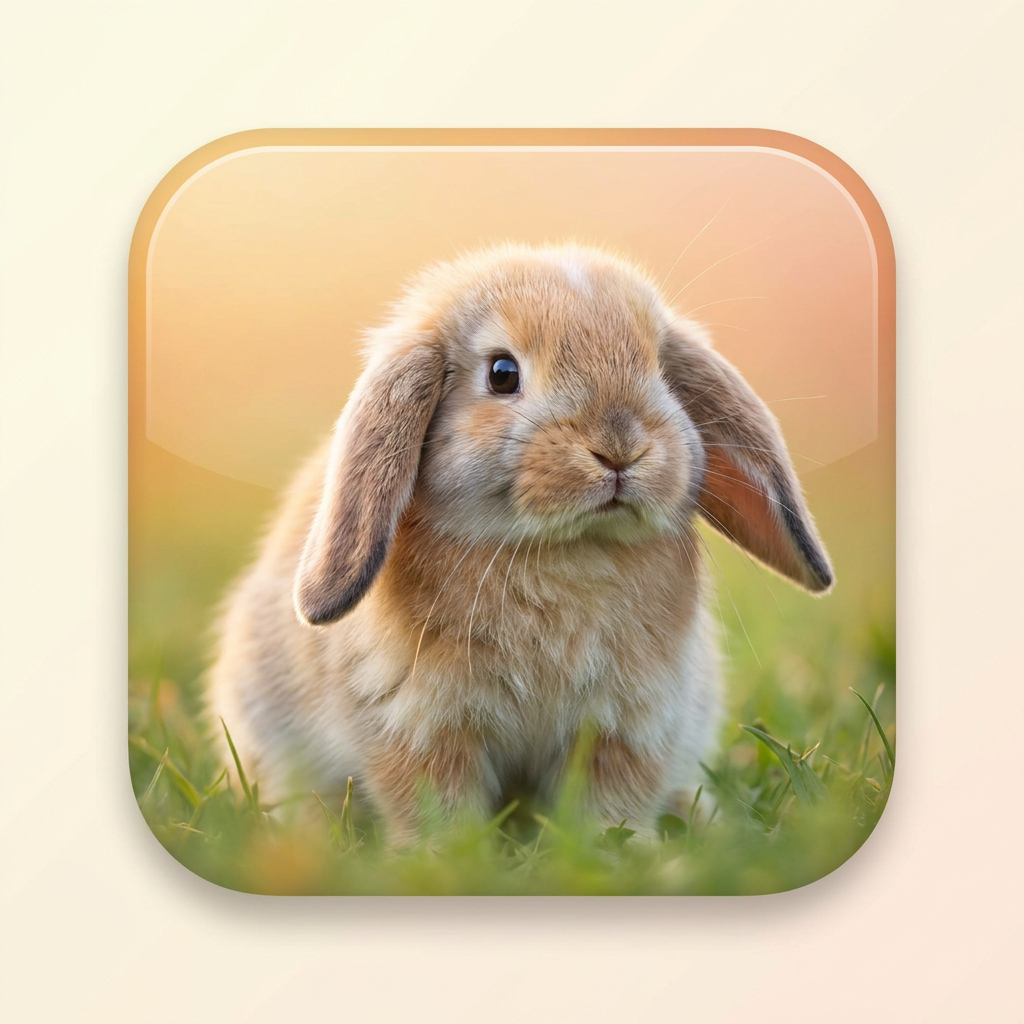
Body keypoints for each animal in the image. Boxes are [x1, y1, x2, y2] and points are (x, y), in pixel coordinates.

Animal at [205, 241, 833, 845]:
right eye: (502, 373)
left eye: (659, 367)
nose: (620, 447)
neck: (565, 551)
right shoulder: (419, 727)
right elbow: (435, 803)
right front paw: (445, 856)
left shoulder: (625, 729)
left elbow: (612, 804)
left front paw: (620, 852)